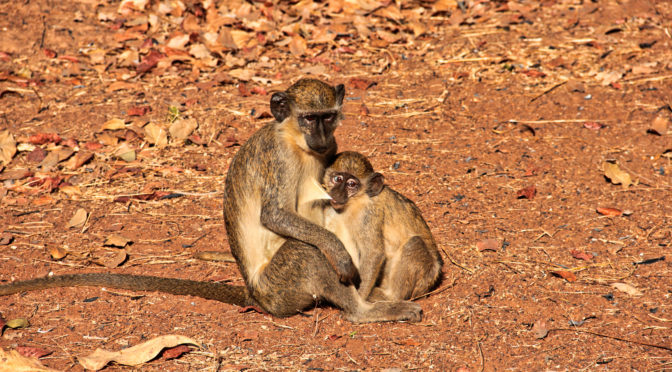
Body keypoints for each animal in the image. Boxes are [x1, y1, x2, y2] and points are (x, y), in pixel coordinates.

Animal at [322, 151, 444, 302]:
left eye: (351, 184)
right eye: (337, 179)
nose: (337, 193)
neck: (355, 202)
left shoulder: (368, 214)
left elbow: (374, 252)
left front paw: (359, 298)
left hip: (424, 277)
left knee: (415, 243)